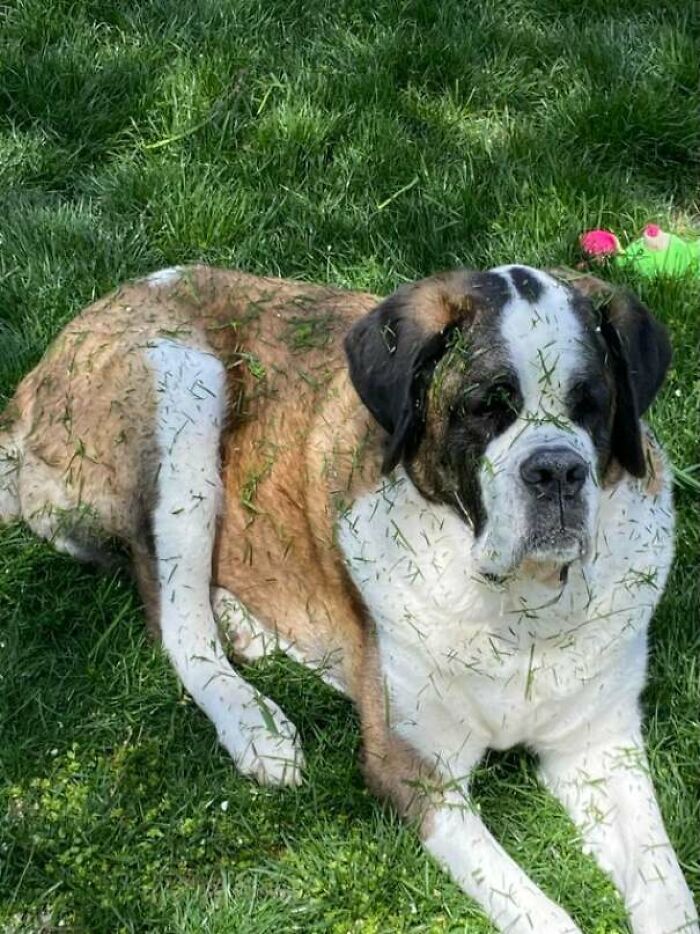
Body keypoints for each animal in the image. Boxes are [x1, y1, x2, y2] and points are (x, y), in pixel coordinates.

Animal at [0, 263, 697, 934]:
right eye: (484, 406)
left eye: (592, 405)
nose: (556, 470)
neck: (523, 611)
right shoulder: (416, 769)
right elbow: (537, 909)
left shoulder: (600, 748)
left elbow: (667, 887)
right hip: (180, 386)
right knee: (174, 616)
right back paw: (255, 724)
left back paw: (246, 626)